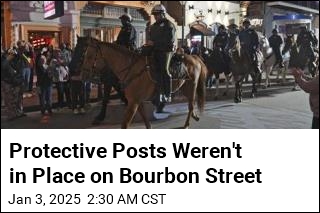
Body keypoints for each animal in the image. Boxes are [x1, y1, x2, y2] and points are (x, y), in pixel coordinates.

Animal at [70, 37, 208, 128]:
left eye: (88, 56)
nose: (81, 75)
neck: (130, 67)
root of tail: (194, 57)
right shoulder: (137, 101)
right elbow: (146, 122)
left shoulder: (133, 103)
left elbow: (124, 124)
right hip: (184, 86)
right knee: (191, 103)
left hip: (192, 86)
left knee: (191, 105)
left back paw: (186, 123)